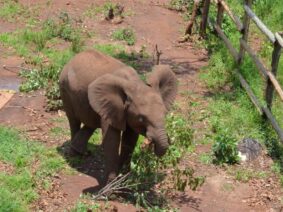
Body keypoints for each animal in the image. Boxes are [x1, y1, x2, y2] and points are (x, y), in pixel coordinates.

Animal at [59, 49, 178, 184]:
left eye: (164, 114)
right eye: (142, 118)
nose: (151, 143)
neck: (135, 85)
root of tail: (72, 59)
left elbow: (130, 139)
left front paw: (124, 179)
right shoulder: (114, 107)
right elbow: (112, 139)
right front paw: (111, 184)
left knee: (91, 122)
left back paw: (82, 152)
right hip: (65, 90)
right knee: (74, 121)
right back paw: (74, 156)